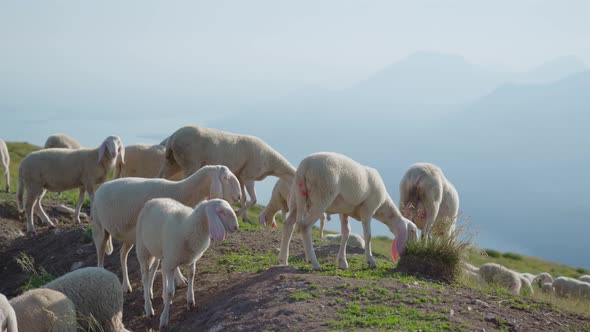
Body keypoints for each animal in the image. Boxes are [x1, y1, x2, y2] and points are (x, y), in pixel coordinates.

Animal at [92, 165, 240, 292]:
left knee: (122, 254)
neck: (181, 192)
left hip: (130, 236)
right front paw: (180, 280)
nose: (239, 197)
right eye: (226, 177)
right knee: (100, 255)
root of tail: (101, 187)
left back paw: (126, 285)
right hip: (100, 228)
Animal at [136, 197, 240, 330]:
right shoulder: (172, 261)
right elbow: (171, 292)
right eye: (221, 212)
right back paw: (148, 308)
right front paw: (164, 320)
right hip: (143, 249)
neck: (190, 226)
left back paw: (158, 295)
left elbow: (192, 276)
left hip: (162, 253)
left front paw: (190, 301)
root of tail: (154, 199)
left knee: (158, 269)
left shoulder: (191, 259)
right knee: (145, 276)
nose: (236, 227)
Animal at [157, 126, 298, 219]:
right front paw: (238, 213)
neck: (271, 161)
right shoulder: (249, 176)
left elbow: (244, 198)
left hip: (172, 162)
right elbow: (254, 200)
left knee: (161, 176)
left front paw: (245, 218)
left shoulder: (240, 177)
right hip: (190, 162)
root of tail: (173, 137)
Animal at [278, 152, 420, 272]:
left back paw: (283, 260)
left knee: (288, 224)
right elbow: (368, 236)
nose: (411, 250)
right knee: (305, 226)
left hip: (296, 197)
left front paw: (342, 262)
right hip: (321, 195)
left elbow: (346, 233)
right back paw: (314, 263)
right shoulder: (368, 210)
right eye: (413, 231)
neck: (383, 206)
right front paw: (371, 261)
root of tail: (305, 166)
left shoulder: (344, 211)